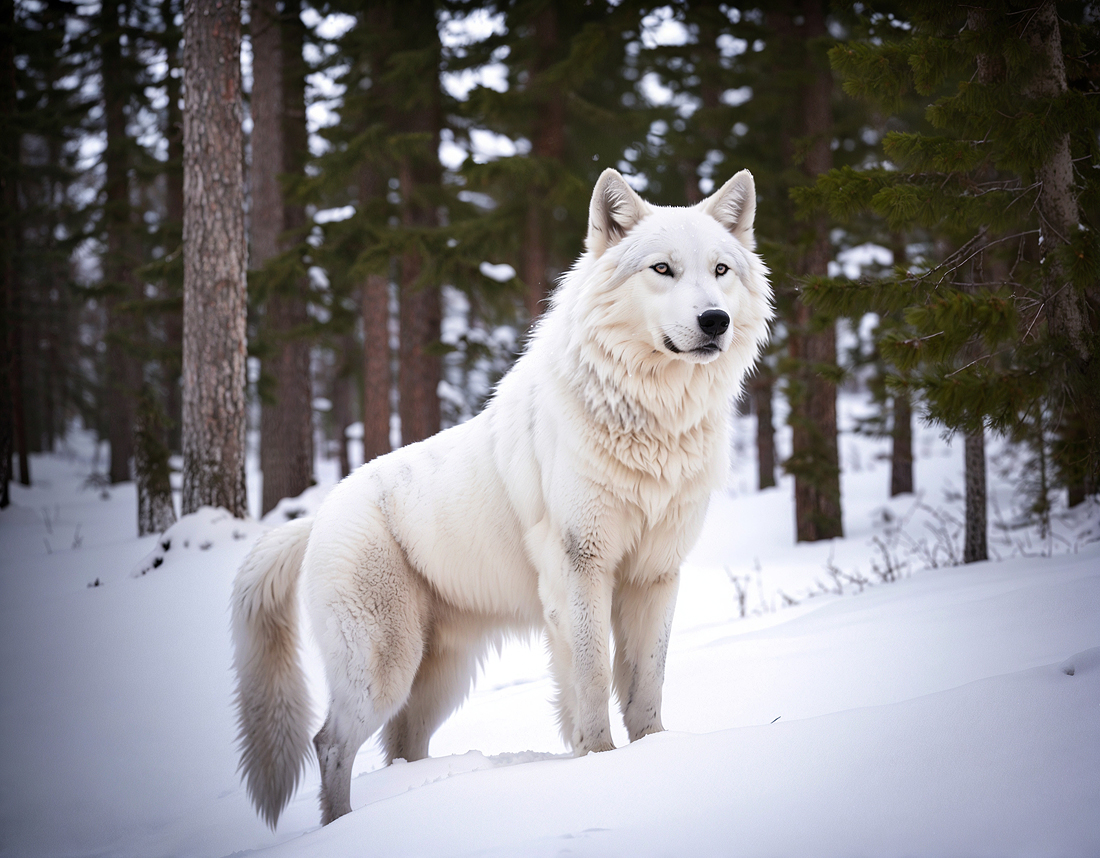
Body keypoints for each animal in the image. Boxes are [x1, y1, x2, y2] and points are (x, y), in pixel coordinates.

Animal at [229, 167, 774, 822]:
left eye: (720, 270)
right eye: (662, 269)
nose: (715, 320)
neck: (650, 418)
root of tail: (317, 516)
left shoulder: (655, 575)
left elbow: (648, 686)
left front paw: (655, 755)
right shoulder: (581, 568)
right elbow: (592, 680)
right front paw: (600, 763)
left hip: (439, 679)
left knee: (399, 744)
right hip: (385, 668)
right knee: (329, 743)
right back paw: (343, 828)